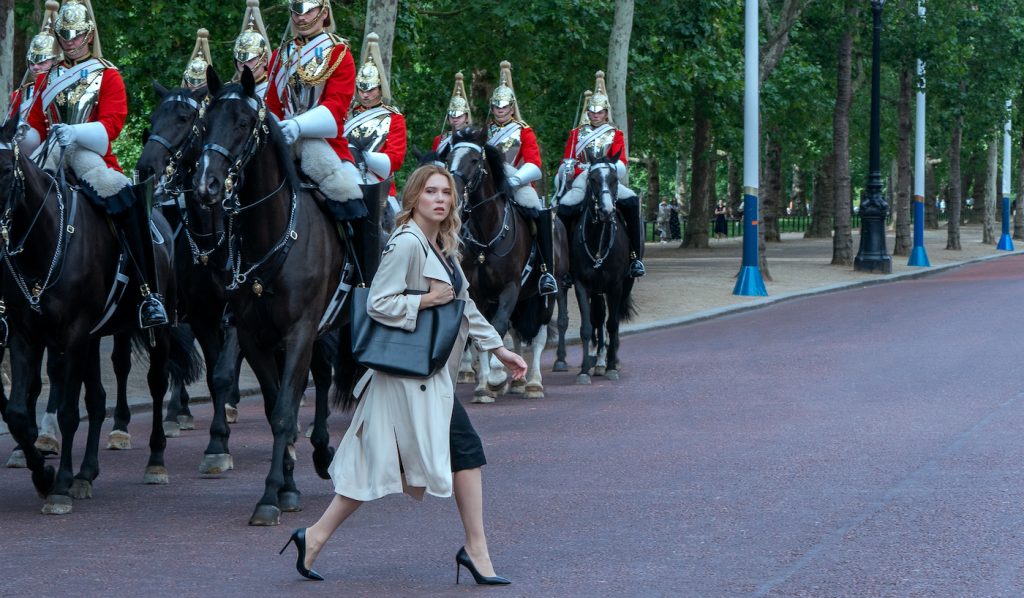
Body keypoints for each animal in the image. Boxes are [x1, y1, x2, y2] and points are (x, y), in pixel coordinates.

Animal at [0, 115, 199, 514]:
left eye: (5, 170)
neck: (46, 239)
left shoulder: (73, 335)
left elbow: (67, 412)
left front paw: (59, 484)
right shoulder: (25, 334)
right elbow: (17, 411)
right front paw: (43, 474)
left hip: (159, 328)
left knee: (156, 384)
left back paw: (155, 461)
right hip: (93, 339)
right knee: (96, 399)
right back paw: (86, 473)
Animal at [192, 69, 348, 524]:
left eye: (244, 123)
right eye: (204, 124)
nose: (206, 185)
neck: (271, 232)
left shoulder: (299, 331)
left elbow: (283, 414)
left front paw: (270, 494)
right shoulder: (254, 335)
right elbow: (277, 406)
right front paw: (286, 488)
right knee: (321, 376)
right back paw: (318, 452)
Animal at [565, 149, 634, 382]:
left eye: (614, 179)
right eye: (592, 179)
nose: (606, 211)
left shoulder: (616, 285)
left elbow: (612, 324)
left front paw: (612, 366)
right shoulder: (582, 285)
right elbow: (587, 326)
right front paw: (585, 370)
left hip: (625, 284)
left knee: (611, 320)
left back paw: (611, 360)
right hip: (596, 289)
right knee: (598, 317)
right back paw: (599, 361)